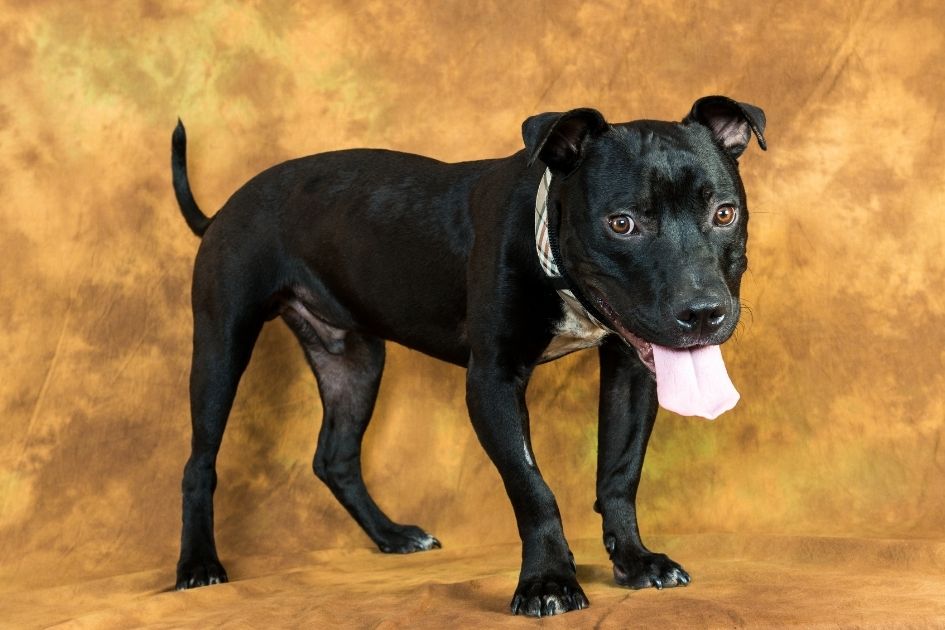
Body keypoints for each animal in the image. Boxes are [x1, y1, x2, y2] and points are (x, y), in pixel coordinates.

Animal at [171, 96, 760, 620]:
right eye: (622, 224)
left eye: (724, 213)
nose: (703, 312)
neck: (553, 258)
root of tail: (223, 208)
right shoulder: (493, 383)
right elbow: (532, 488)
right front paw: (548, 582)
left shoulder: (631, 371)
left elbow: (619, 471)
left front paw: (635, 561)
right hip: (221, 346)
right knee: (200, 462)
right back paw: (198, 566)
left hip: (354, 360)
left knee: (334, 457)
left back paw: (392, 536)